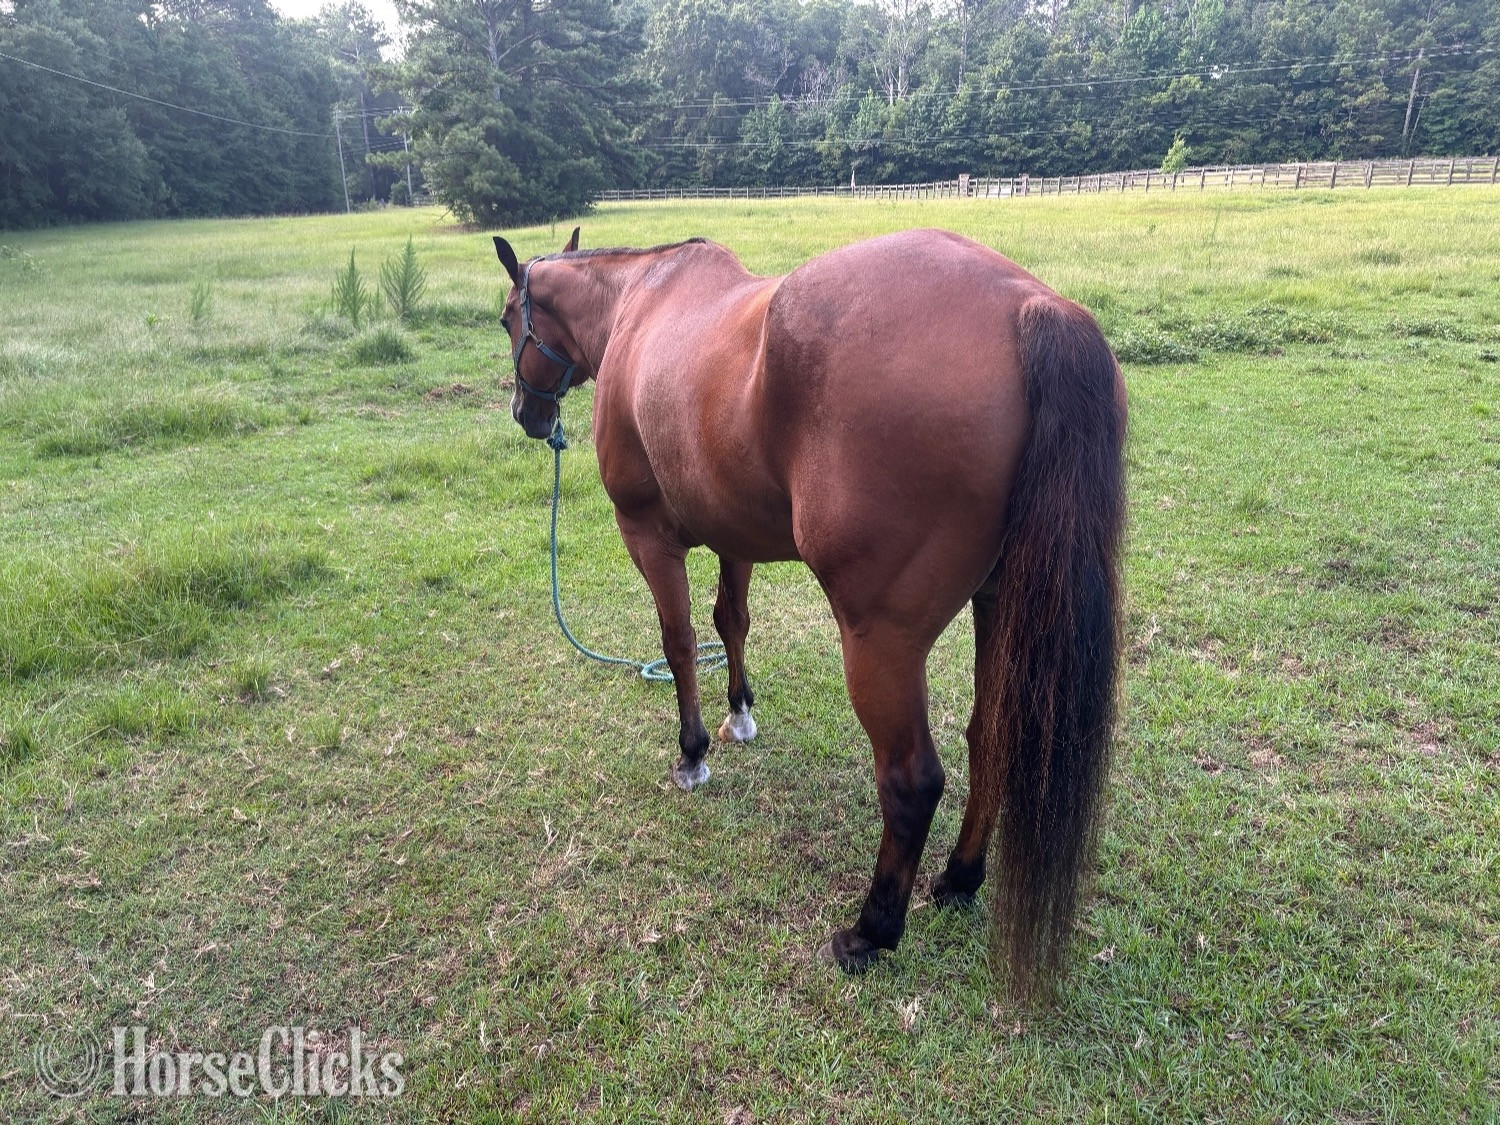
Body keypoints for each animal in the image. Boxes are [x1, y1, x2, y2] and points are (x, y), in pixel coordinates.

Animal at [492, 225, 1127, 997]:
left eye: (508, 320)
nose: (528, 415)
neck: (640, 305)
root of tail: (1026, 304)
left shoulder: (647, 535)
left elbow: (679, 640)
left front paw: (692, 752)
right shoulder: (732, 534)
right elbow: (729, 621)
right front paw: (739, 714)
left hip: (879, 638)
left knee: (912, 781)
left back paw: (871, 931)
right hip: (1002, 606)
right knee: (994, 737)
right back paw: (959, 878)